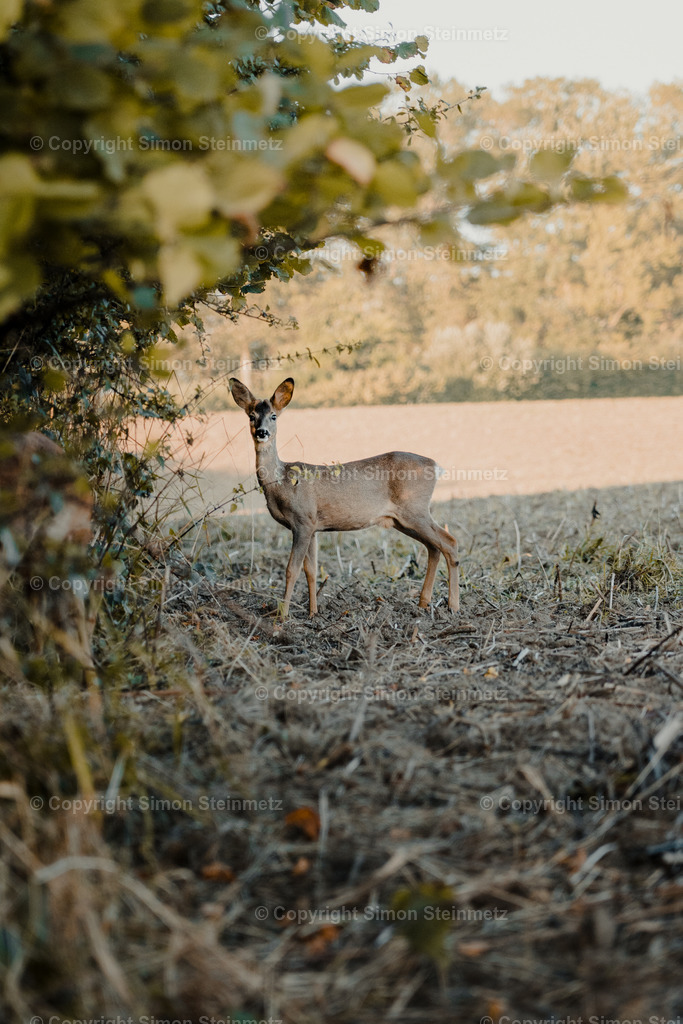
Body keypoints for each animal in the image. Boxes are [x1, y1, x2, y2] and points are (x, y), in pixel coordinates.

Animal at [229, 377, 459, 618]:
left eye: (274, 415)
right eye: (251, 416)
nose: (262, 432)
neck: (281, 481)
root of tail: (435, 465)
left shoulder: (302, 521)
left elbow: (291, 569)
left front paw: (282, 616)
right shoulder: (313, 526)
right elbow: (311, 570)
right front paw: (313, 613)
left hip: (415, 509)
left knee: (450, 541)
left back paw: (453, 605)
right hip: (402, 519)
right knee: (434, 547)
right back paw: (423, 603)